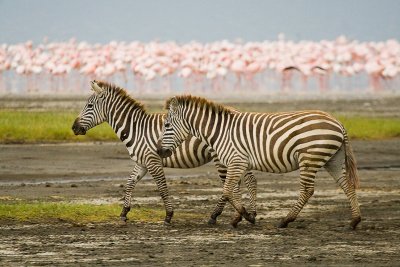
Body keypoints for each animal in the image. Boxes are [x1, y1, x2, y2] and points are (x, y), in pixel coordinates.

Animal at [72, 81, 258, 226]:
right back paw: (248, 214)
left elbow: (162, 188)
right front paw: (124, 212)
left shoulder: (153, 160)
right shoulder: (141, 162)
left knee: (233, 185)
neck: (136, 129)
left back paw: (221, 215)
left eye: (89, 106)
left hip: (223, 158)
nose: (73, 128)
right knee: (249, 181)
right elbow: (130, 183)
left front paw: (168, 216)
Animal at [157, 95, 362, 229]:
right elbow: (234, 190)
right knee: (347, 185)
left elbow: (227, 190)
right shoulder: (237, 163)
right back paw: (354, 221)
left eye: (167, 125)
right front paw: (240, 217)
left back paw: (285, 220)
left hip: (309, 158)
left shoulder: (236, 160)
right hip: (332, 160)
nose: (159, 151)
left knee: (307, 190)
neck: (219, 131)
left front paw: (246, 216)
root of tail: (338, 122)